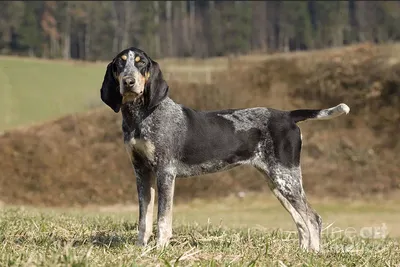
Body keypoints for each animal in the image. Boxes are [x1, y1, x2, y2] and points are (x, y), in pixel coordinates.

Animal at [100, 47, 350, 252]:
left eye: (141, 63)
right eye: (120, 64)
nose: (128, 82)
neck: (139, 116)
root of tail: (288, 115)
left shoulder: (165, 173)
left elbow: (162, 219)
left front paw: (160, 248)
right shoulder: (141, 172)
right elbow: (144, 218)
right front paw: (140, 249)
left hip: (287, 179)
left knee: (313, 218)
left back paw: (314, 253)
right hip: (277, 183)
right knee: (301, 221)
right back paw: (302, 252)